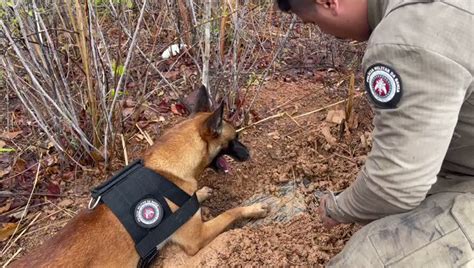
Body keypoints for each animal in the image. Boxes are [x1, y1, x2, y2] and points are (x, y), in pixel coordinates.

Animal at [11, 87, 268, 266]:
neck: (167, 167)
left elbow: (197, 197)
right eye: (235, 138)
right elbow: (230, 212)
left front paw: (202, 192)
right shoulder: (197, 238)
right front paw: (253, 209)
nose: (249, 153)